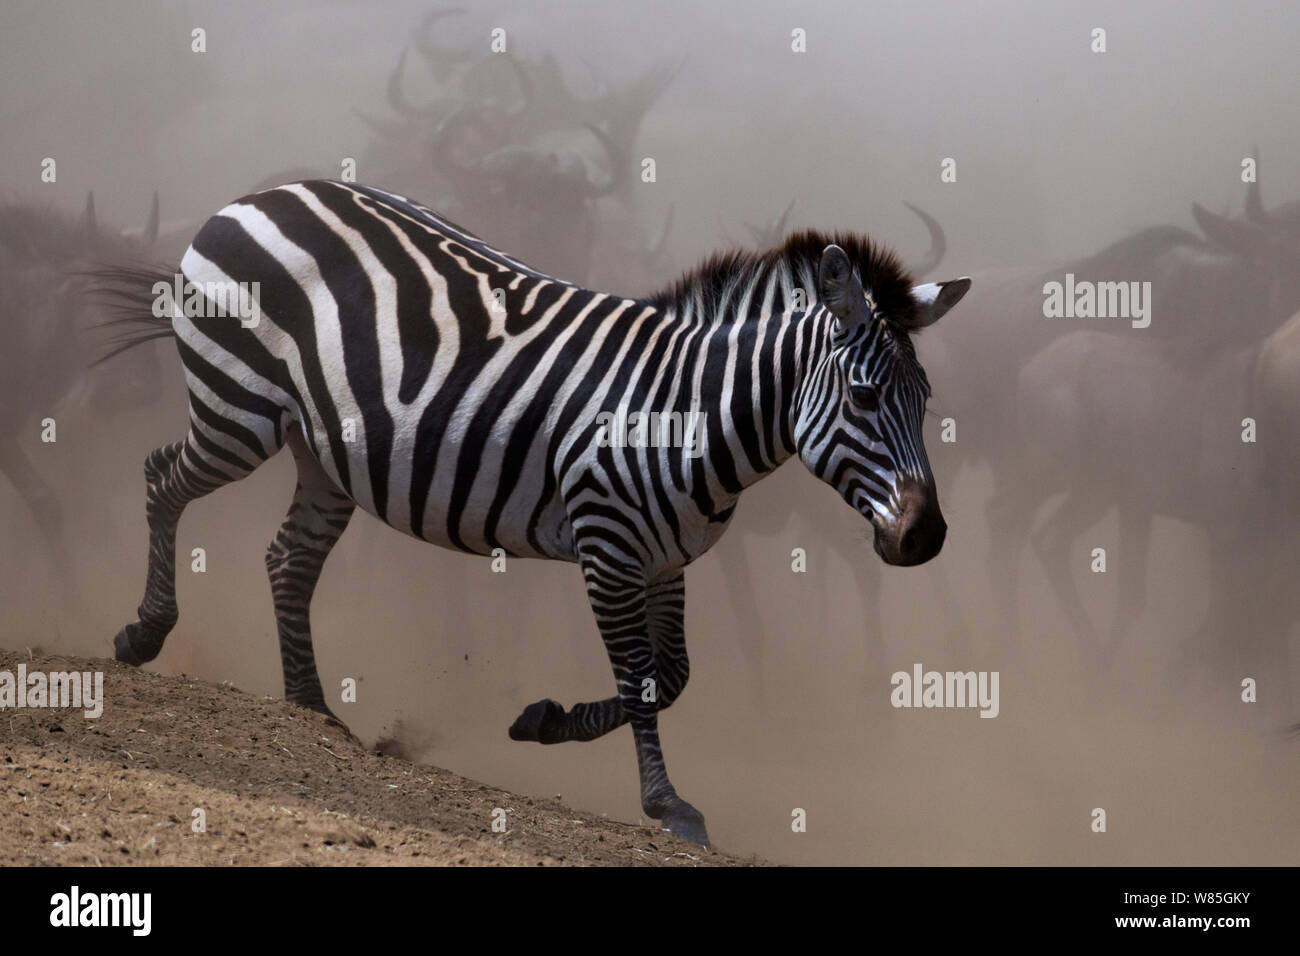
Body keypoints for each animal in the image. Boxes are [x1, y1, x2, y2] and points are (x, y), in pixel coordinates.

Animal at [101, 179, 967, 842]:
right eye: (865, 396)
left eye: (925, 400)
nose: (926, 537)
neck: (685, 412)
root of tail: (258, 194)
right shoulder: (607, 545)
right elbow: (640, 678)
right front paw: (665, 804)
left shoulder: (667, 557)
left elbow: (673, 676)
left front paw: (545, 721)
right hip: (237, 412)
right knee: (158, 476)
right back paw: (145, 631)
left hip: (322, 456)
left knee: (289, 558)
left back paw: (311, 711)